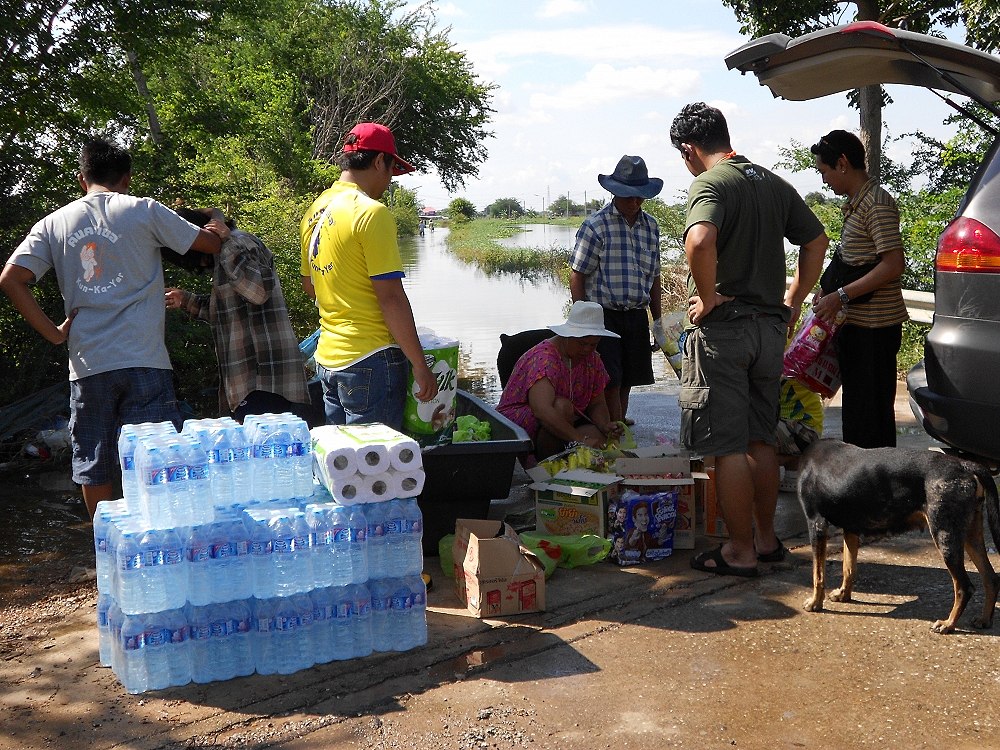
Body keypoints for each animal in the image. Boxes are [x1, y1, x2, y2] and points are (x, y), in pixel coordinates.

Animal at [796, 440, 1000, 636]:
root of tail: (965, 465)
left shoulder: (816, 523)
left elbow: (818, 574)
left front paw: (815, 603)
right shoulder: (850, 528)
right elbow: (848, 568)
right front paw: (843, 595)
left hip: (945, 533)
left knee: (964, 587)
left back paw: (948, 624)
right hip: (970, 533)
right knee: (990, 577)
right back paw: (984, 620)